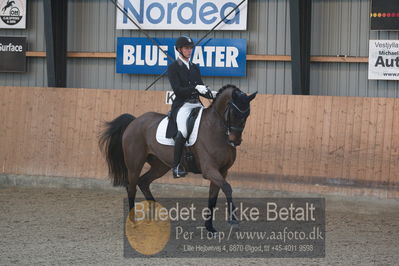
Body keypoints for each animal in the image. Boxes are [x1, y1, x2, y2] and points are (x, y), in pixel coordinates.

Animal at [99, 84, 258, 231]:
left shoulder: (222, 171)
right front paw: (233, 220)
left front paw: (209, 227)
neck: (216, 130)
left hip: (160, 166)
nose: (235, 141)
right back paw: (133, 221)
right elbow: (228, 188)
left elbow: (214, 196)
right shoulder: (209, 170)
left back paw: (159, 215)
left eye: (247, 114)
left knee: (143, 182)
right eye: (234, 113)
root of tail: (135, 121)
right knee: (131, 187)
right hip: (134, 164)